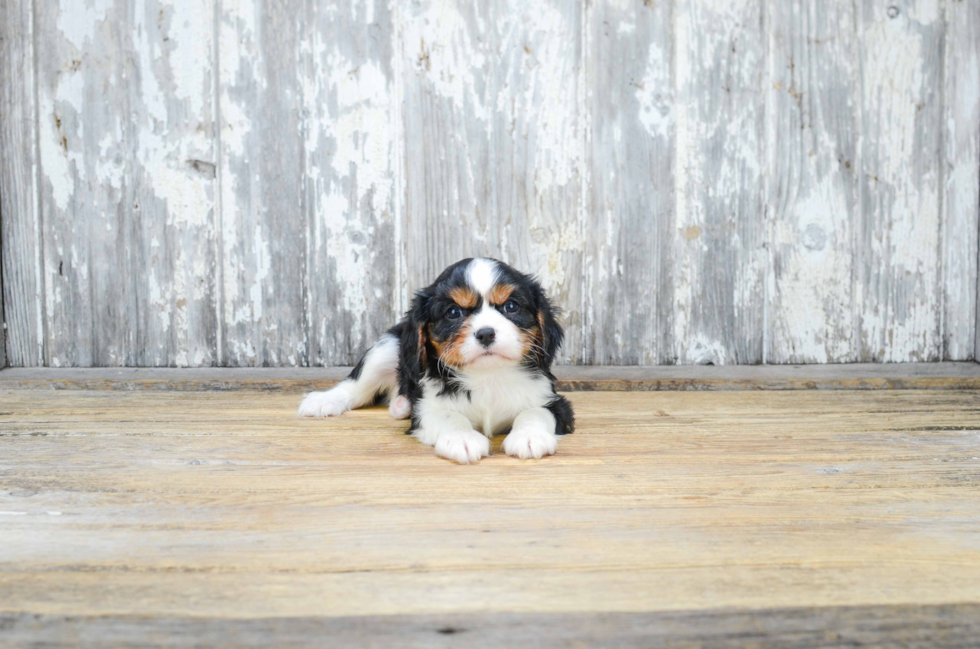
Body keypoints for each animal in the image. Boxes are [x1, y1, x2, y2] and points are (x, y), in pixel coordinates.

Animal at [298, 256, 576, 464]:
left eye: (510, 307)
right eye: (453, 312)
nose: (486, 333)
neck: (488, 375)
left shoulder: (554, 402)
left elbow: (534, 412)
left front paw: (529, 437)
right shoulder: (428, 409)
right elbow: (449, 417)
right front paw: (463, 439)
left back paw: (400, 405)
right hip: (387, 348)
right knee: (355, 387)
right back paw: (323, 401)